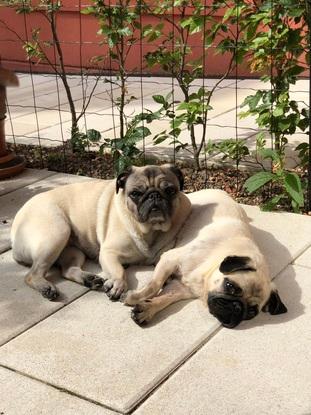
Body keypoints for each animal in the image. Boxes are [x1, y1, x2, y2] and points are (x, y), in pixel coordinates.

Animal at [11, 164, 191, 300]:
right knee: (32, 274)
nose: (154, 195)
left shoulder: (163, 256)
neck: (149, 230)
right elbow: (119, 272)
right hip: (57, 233)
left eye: (170, 191)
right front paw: (118, 284)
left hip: (72, 251)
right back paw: (46, 288)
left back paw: (89, 279)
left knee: (67, 270)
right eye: (135, 193)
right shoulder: (109, 253)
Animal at [124, 188, 288, 328]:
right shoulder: (170, 260)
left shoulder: (181, 288)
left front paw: (147, 308)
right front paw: (135, 297)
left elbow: (165, 299)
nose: (236, 307)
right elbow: (154, 284)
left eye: (251, 313)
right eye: (230, 286)